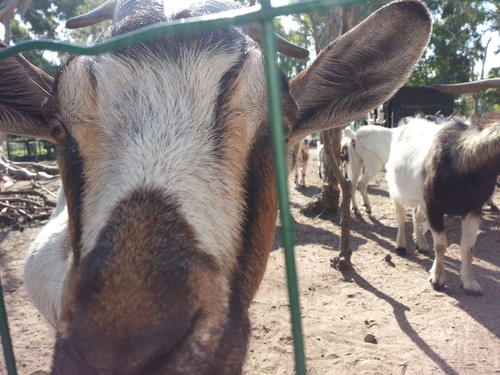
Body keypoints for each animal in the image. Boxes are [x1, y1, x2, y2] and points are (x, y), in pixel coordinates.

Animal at [386, 114, 500, 296]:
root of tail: (410, 121)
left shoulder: (473, 209)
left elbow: (468, 247)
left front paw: (469, 282)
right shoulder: (435, 207)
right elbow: (440, 245)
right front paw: (437, 278)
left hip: (421, 196)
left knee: (417, 214)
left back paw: (422, 244)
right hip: (395, 187)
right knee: (401, 216)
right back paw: (401, 246)